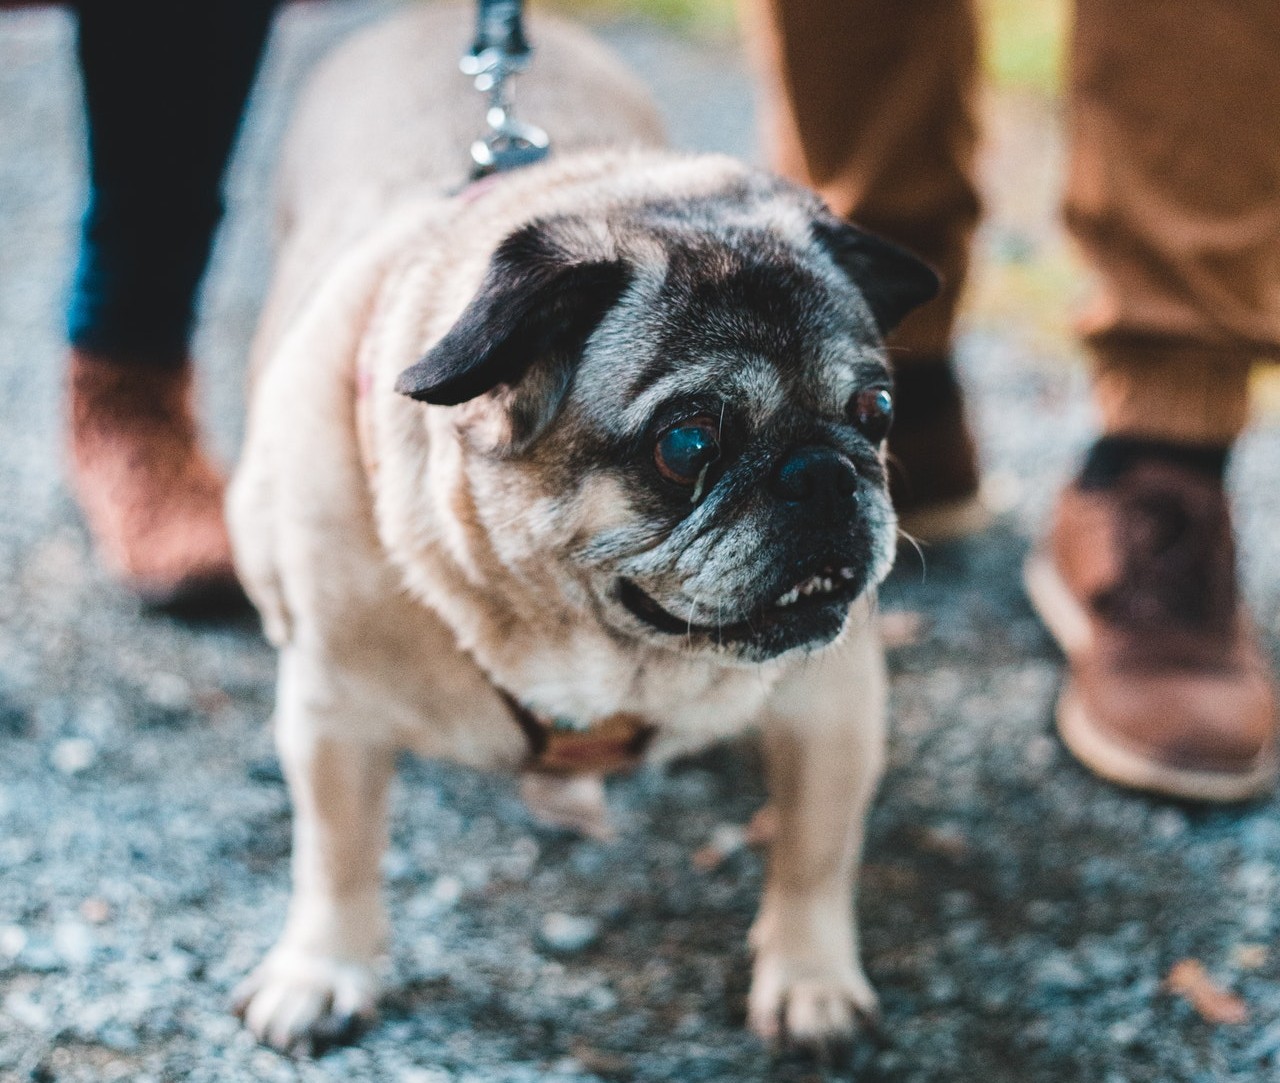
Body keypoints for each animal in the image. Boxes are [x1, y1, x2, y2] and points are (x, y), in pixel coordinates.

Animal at [227, 0, 931, 1059]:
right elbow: (336, 852)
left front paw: (811, 979)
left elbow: (817, 850)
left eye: (878, 411)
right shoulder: (330, 714)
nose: (823, 474)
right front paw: (321, 969)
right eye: (687, 442)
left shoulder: (835, 702)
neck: (600, 658)